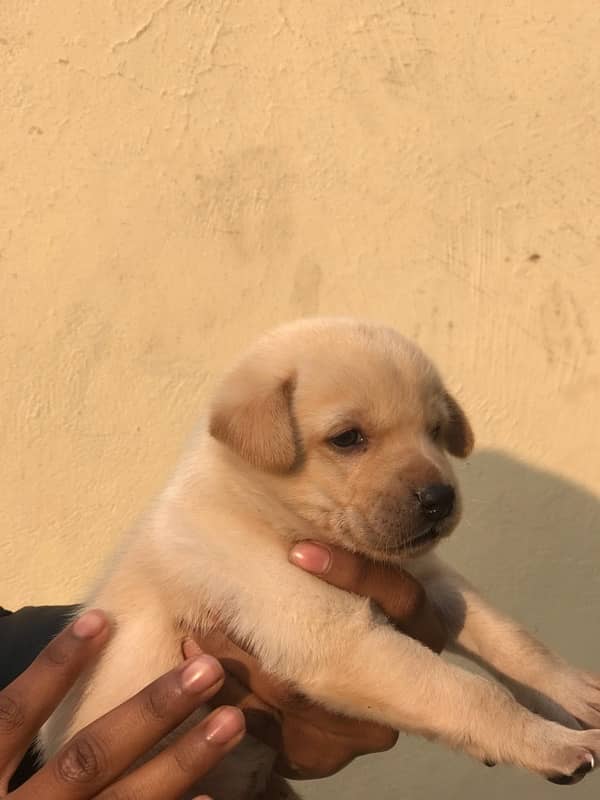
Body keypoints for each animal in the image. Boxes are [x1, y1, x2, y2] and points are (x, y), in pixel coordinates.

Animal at [41, 316, 600, 796]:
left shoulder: (433, 580)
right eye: (348, 438)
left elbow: (515, 641)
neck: (266, 511)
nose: (441, 499)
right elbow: (472, 693)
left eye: (437, 431)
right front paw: (553, 743)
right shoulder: (335, 637)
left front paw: (574, 694)